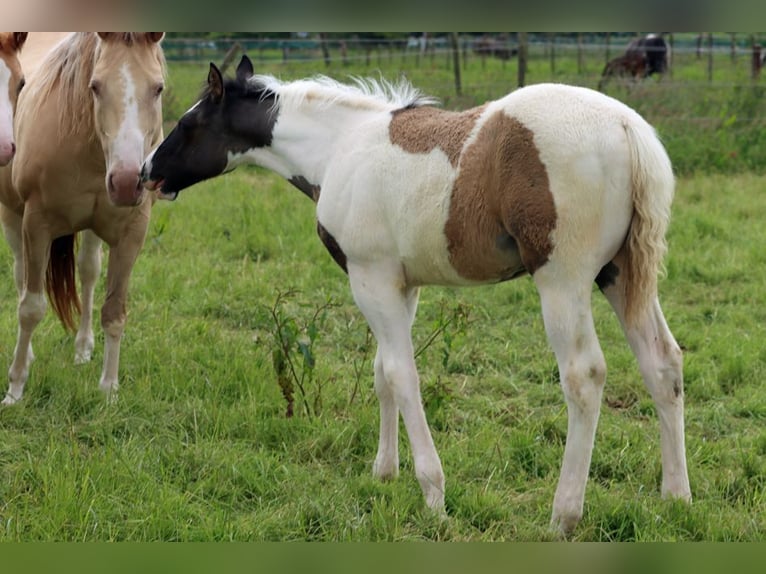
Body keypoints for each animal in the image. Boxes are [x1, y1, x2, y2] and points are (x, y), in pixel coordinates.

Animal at [0, 32, 165, 410]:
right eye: (95, 86)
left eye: (158, 87)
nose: (126, 182)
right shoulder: (36, 224)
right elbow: (30, 307)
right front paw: (15, 389)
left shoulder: (132, 232)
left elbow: (114, 311)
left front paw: (109, 390)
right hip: (12, 219)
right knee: (20, 276)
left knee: (89, 271)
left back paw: (83, 348)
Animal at [141, 56, 692, 536]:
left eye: (189, 123)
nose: (148, 171)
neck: (338, 148)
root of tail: (627, 128)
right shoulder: (400, 286)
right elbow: (383, 373)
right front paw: (384, 473)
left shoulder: (371, 278)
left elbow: (403, 376)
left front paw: (433, 496)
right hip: (620, 275)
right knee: (663, 363)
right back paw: (676, 498)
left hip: (563, 281)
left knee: (584, 377)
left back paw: (564, 516)